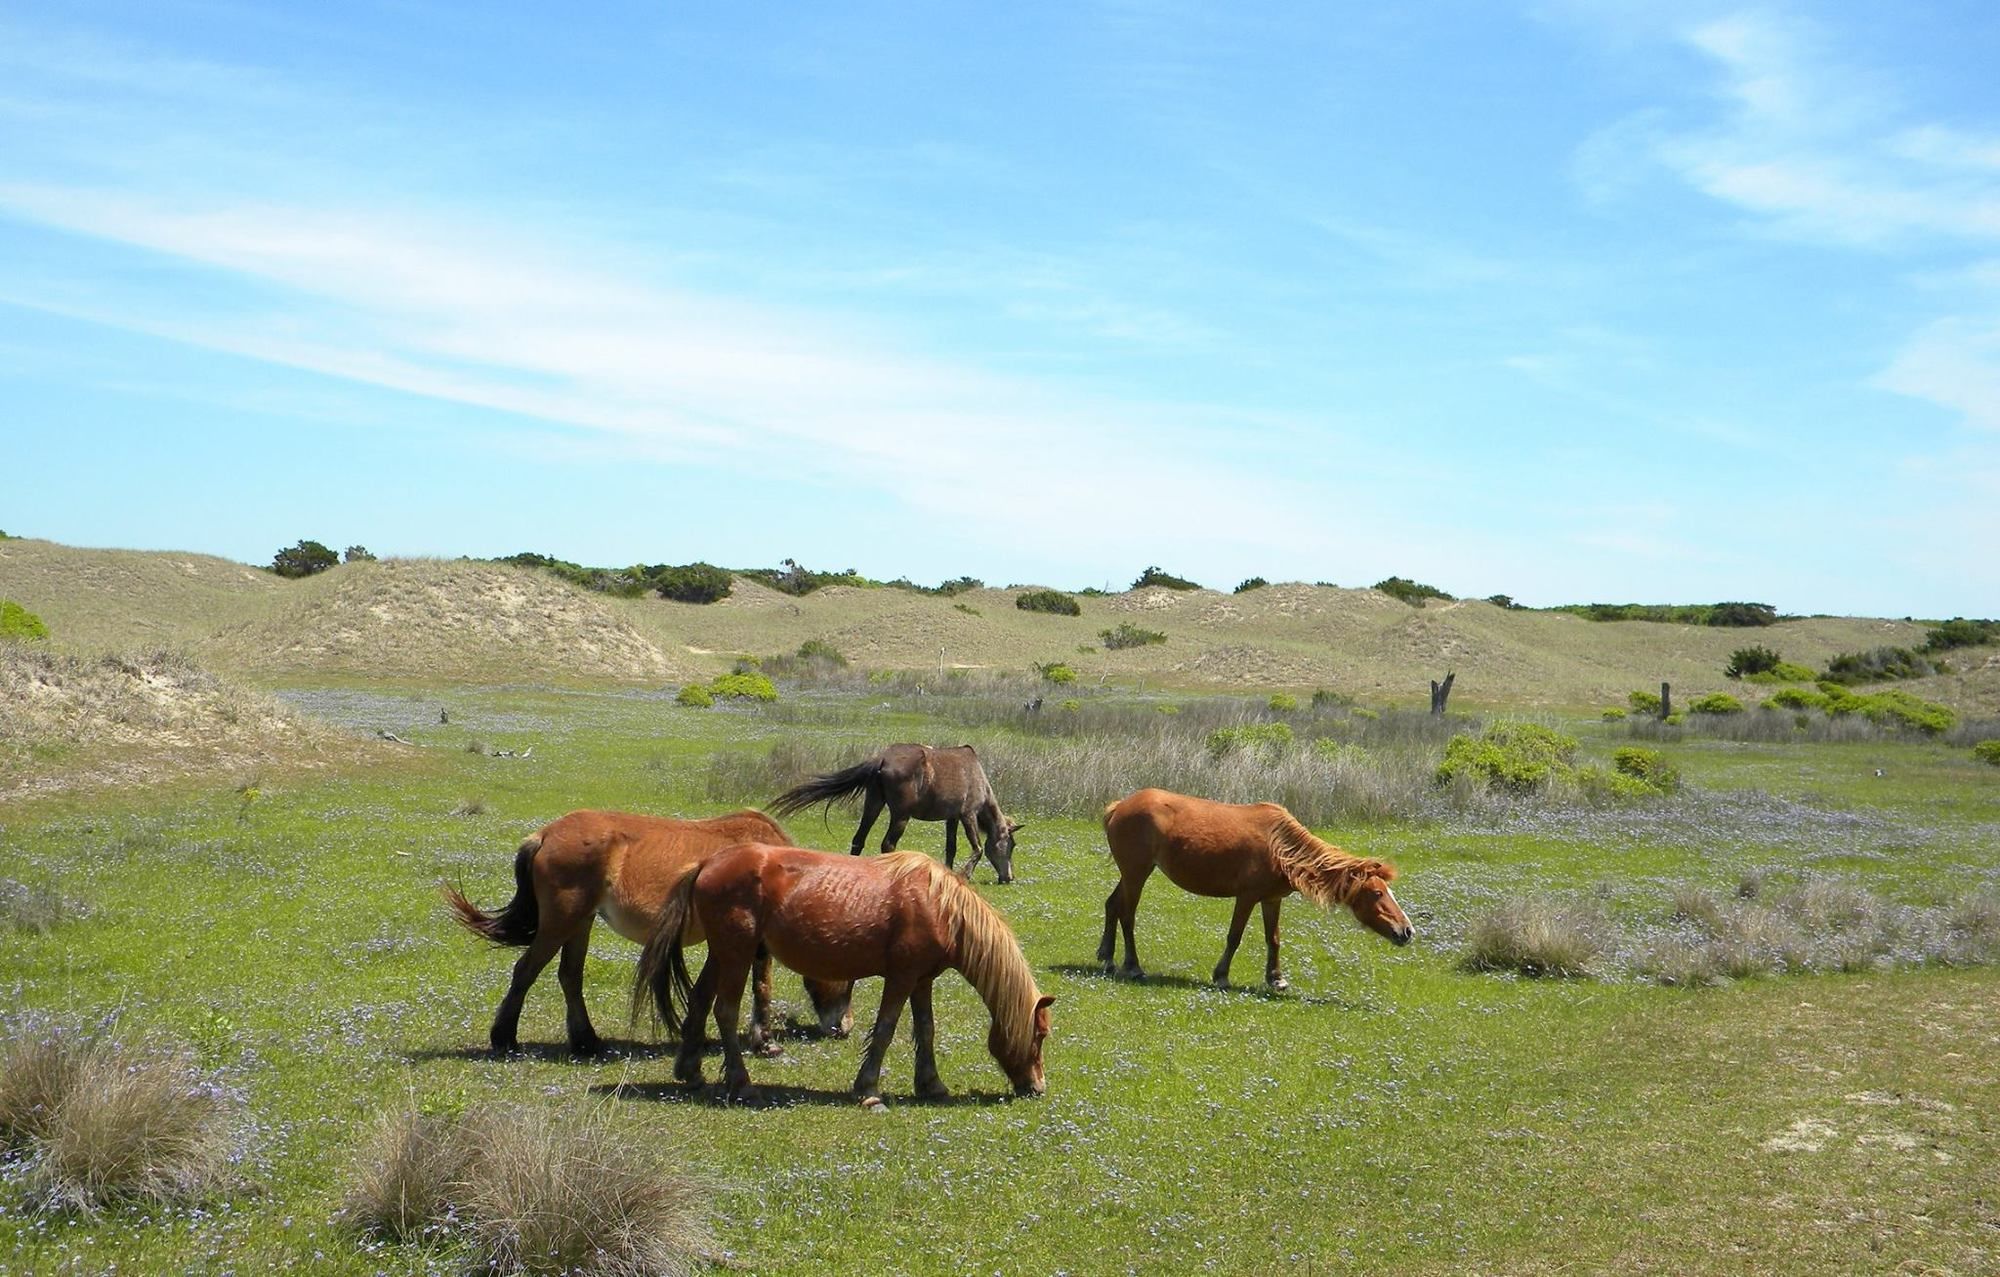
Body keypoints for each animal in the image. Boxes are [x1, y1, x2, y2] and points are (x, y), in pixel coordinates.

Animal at [446, 808, 852, 1056]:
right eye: (849, 981)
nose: (844, 1027)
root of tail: (544, 835)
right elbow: (761, 987)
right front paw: (764, 1043)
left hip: (580, 924)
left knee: (570, 977)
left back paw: (587, 1042)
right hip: (561, 923)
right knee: (526, 971)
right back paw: (505, 1039)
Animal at [632, 844, 1056, 1104]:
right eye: (1040, 1035)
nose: (1037, 1087)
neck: (941, 906)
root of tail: (708, 863)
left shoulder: (922, 980)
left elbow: (926, 1029)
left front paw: (931, 1083)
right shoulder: (901, 978)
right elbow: (885, 1029)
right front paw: (868, 1088)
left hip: (722, 954)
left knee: (700, 1001)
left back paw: (690, 1071)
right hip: (737, 955)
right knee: (725, 1011)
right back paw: (742, 1085)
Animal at [760, 744, 1024, 884]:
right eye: (1011, 845)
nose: (1008, 877)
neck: (979, 779)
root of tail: (882, 759)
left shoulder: (951, 818)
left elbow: (951, 848)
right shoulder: (967, 814)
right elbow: (977, 849)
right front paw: (965, 874)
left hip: (873, 804)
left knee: (859, 840)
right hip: (900, 815)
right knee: (887, 844)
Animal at [1104, 792, 1416, 992]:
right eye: (1377, 893)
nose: (1407, 931)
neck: (1279, 847)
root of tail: (1119, 806)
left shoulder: (1271, 900)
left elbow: (1273, 939)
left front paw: (1276, 978)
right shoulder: (1247, 897)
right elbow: (1234, 937)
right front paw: (1221, 976)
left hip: (1130, 875)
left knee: (1112, 905)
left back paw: (1107, 958)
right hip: (1136, 874)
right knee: (1127, 916)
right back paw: (1133, 967)